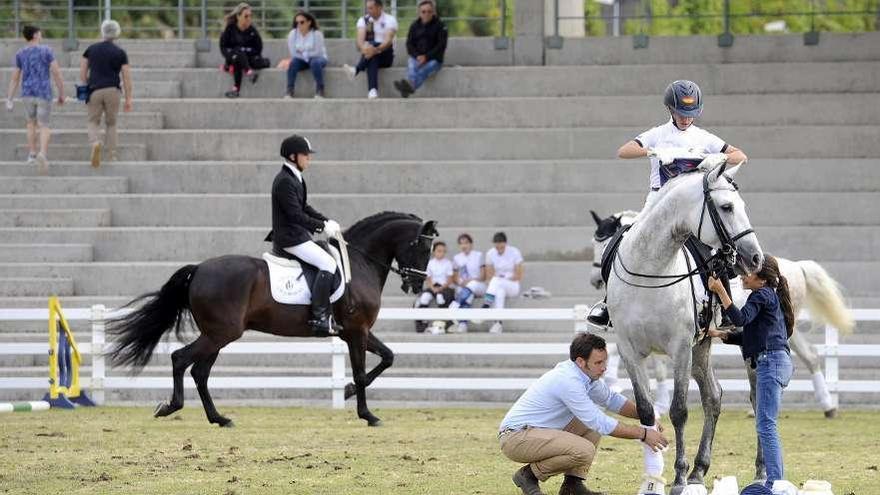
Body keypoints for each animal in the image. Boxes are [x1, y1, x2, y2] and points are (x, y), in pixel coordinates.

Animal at [108, 211, 438, 428]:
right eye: (422, 247)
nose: (417, 285)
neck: (359, 263)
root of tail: (199, 268)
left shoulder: (356, 331)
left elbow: (388, 357)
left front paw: (345, 392)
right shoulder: (357, 331)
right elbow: (360, 371)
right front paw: (367, 414)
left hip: (217, 335)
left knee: (200, 372)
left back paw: (219, 418)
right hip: (220, 333)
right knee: (181, 359)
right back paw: (171, 407)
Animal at [604, 164, 764, 495]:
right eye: (726, 207)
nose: (754, 258)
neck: (650, 271)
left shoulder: (678, 348)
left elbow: (678, 411)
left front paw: (678, 477)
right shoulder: (629, 350)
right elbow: (646, 410)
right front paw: (652, 479)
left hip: (747, 348)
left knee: (760, 400)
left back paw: (760, 472)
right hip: (701, 347)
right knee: (713, 396)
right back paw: (699, 471)